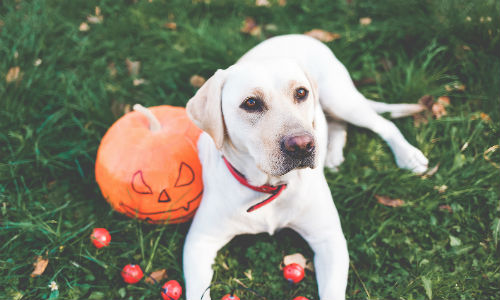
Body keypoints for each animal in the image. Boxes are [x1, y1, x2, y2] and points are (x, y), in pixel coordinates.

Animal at [183, 34, 426, 298]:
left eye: (301, 93)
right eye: (251, 103)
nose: (302, 145)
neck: (270, 187)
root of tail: (301, 35)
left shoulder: (328, 238)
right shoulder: (199, 242)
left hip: (341, 100)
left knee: (383, 125)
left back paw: (408, 155)